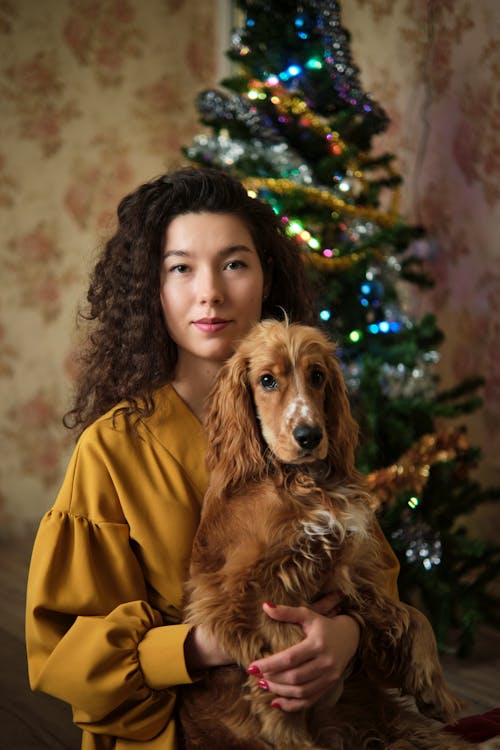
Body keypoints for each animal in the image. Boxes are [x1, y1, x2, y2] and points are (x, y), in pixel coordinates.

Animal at [178, 320, 474, 748]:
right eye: (266, 380)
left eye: (317, 376)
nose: (309, 436)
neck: (300, 481)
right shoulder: (234, 594)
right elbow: (285, 654)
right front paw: (289, 731)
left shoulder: (347, 572)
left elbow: (413, 614)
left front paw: (436, 691)